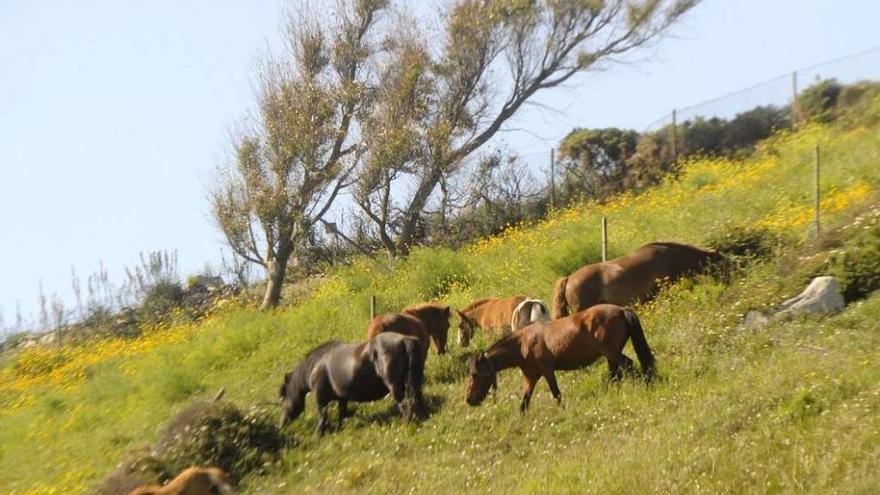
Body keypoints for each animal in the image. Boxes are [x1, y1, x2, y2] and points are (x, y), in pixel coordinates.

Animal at [276, 334, 424, 434]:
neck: (315, 365)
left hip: (395, 386)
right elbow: (342, 414)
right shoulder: (342, 398)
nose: (281, 424)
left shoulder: (320, 398)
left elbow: (323, 416)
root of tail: (405, 340)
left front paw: (319, 433)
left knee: (405, 404)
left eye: (283, 397)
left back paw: (406, 423)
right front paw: (339, 429)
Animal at [468, 302, 652, 414]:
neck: (523, 343)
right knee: (615, 376)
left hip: (612, 354)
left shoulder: (547, 371)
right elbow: (524, 403)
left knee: (628, 366)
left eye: (475, 375)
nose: (469, 399)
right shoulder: (531, 377)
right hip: (610, 357)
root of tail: (621, 310)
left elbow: (556, 394)